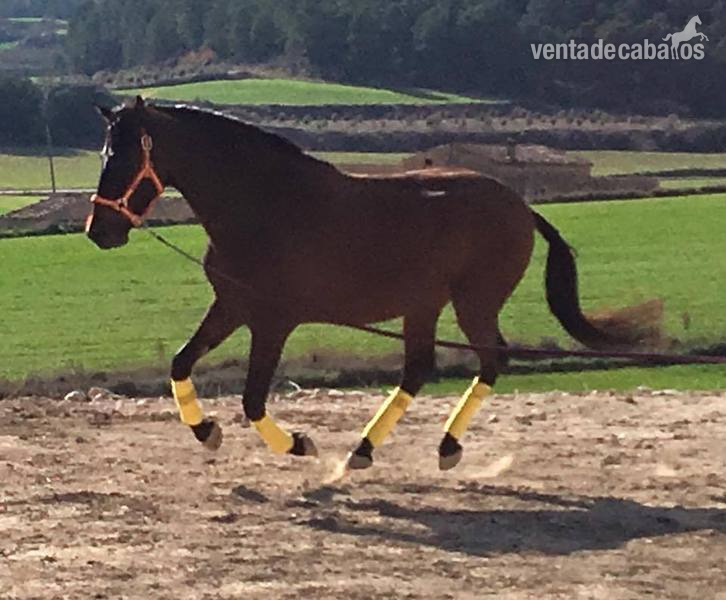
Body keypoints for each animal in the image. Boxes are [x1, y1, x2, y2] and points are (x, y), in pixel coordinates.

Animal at [86, 97, 650, 471]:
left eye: (124, 157)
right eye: (104, 154)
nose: (99, 231)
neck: (264, 204)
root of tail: (519, 204)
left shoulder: (272, 321)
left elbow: (252, 400)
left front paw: (299, 444)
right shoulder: (231, 305)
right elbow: (181, 363)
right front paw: (207, 433)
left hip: (473, 302)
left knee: (491, 360)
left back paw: (445, 448)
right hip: (423, 306)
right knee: (419, 369)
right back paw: (364, 450)